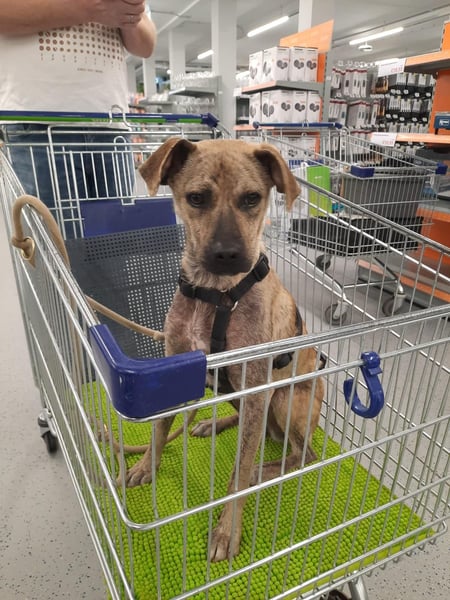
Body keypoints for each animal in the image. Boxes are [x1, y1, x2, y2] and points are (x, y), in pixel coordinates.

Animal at [126, 137, 324, 562]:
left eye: (252, 198)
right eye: (196, 198)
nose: (227, 255)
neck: (215, 295)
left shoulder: (256, 387)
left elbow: (237, 477)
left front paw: (226, 531)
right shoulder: (175, 369)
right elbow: (158, 431)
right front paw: (147, 465)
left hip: (286, 399)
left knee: (302, 455)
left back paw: (263, 469)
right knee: (259, 430)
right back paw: (213, 423)